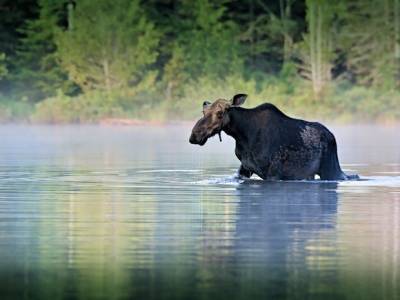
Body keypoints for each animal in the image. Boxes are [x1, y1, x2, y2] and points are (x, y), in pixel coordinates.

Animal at [189, 94, 358, 180]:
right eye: (203, 112)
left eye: (219, 113)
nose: (194, 135)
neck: (242, 135)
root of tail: (332, 137)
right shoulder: (245, 168)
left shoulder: (273, 173)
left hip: (330, 169)